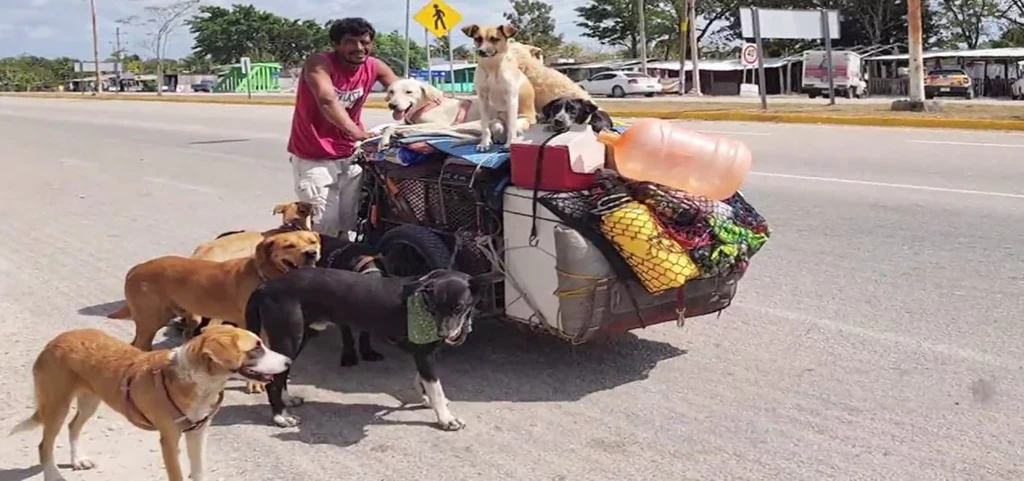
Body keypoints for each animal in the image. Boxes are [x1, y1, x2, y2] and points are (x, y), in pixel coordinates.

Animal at [9, 323, 292, 481]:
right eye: (256, 348)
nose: (289, 361)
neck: (198, 382)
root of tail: (54, 341)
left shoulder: (198, 432)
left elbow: (199, 470)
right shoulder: (169, 440)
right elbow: (177, 475)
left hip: (90, 400)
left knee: (73, 426)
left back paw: (78, 459)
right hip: (57, 404)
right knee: (44, 445)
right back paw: (53, 475)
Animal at [239, 264, 495, 429]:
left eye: (458, 307)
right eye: (433, 307)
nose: (444, 333)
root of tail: (266, 285)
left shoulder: (425, 354)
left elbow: (423, 380)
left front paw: (424, 397)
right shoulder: (423, 353)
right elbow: (436, 388)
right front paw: (446, 418)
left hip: (301, 337)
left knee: (282, 373)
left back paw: (288, 400)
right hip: (290, 337)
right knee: (273, 382)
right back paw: (280, 417)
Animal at [458, 23, 536, 151]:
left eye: (494, 39)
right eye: (477, 38)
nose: (481, 51)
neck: (492, 66)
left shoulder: (511, 98)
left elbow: (512, 126)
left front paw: (510, 143)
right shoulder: (483, 99)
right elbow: (484, 125)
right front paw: (484, 143)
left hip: (522, 122)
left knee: (515, 130)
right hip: (496, 124)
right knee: (496, 131)